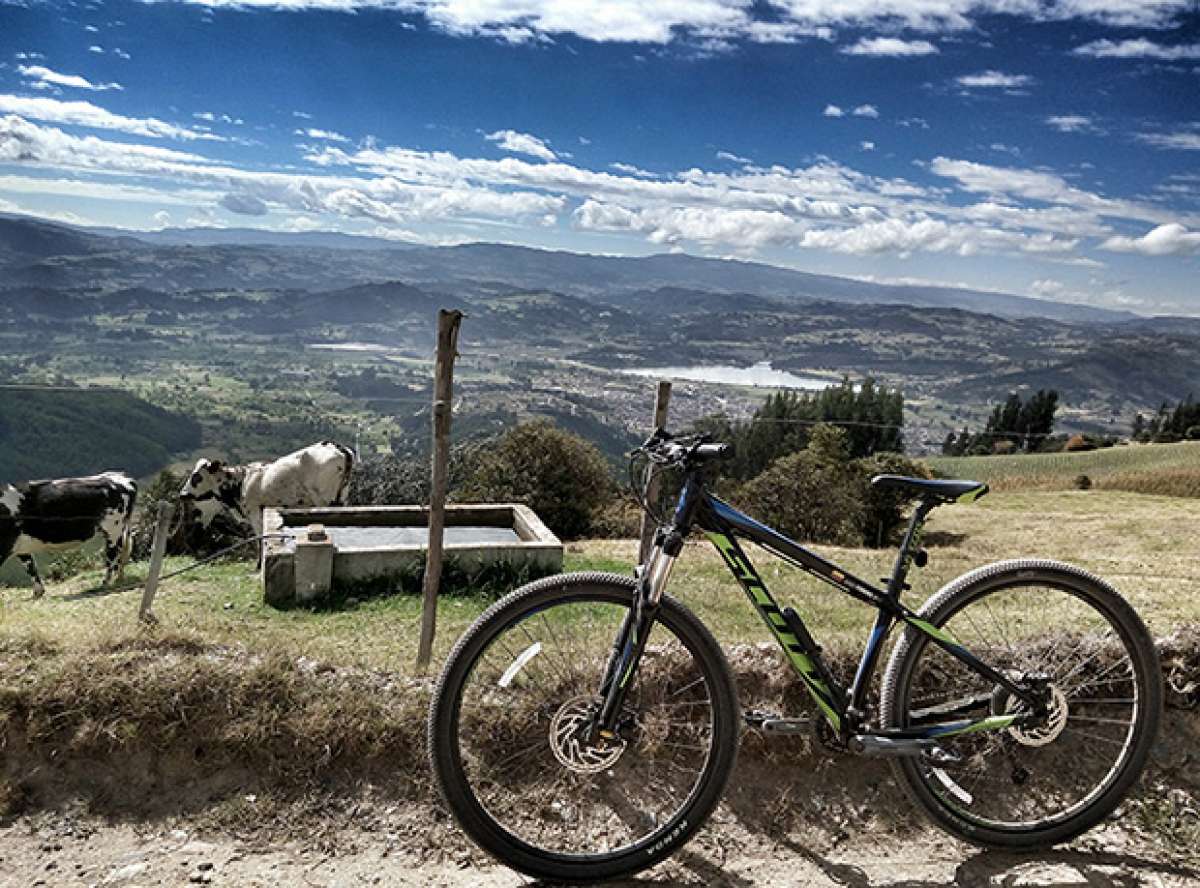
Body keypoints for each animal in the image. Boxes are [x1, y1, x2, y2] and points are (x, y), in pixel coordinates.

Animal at [0, 472, 138, 597]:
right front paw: (38, 593)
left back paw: (105, 584)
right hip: (120, 528)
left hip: (113, 527)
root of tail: (123, 477)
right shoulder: (20, 546)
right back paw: (119, 579)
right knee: (122, 551)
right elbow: (31, 567)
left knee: (113, 554)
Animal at [177, 441, 355, 540]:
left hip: (324, 501)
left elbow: (260, 540)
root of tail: (338, 447)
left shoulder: (255, 515)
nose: (182, 494)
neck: (241, 482)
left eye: (196, 476)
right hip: (342, 500)